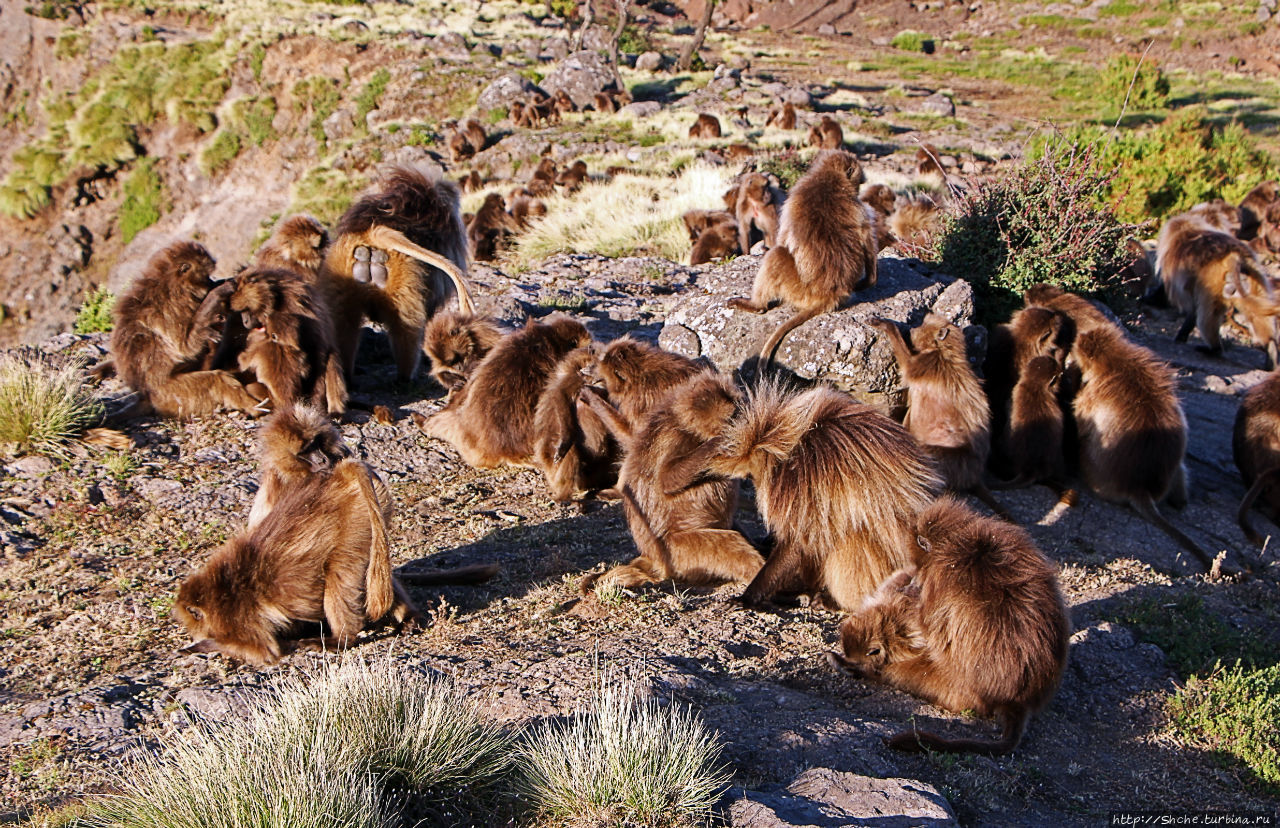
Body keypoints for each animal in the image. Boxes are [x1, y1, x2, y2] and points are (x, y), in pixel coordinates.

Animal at [111, 241, 266, 422]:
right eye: (206, 276)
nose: (212, 282)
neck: (170, 284)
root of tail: (148, 396)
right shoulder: (171, 309)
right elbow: (184, 346)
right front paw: (216, 295)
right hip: (173, 395)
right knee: (215, 380)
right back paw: (254, 407)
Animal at [322, 163, 478, 381]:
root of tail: (372, 235)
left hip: (339, 271)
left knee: (345, 325)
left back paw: (347, 373)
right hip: (404, 282)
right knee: (405, 329)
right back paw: (407, 376)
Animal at [732, 151, 880, 363]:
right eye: (859, 182)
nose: (859, 189)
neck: (830, 179)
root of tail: (832, 293)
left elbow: (783, 238)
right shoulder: (858, 207)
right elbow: (867, 241)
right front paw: (868, 282)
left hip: (798, 291)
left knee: (776, 255)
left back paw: (756, 305)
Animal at [829, 499, 1070, 757]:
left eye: (920, 566)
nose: (912, 584)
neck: (960, 542)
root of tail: (1019, 702)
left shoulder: (940, 581)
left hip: (956, 690)